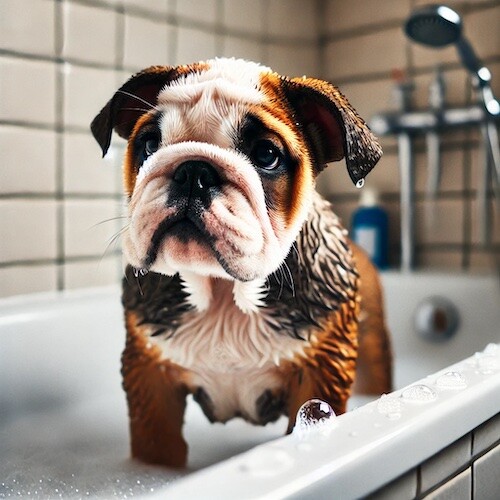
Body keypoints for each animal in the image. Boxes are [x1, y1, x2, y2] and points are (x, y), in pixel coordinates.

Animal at [92, 58, 392, 468]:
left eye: (266, 155)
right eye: (150, 143)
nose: (193, 170)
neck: (222, 290)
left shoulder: (321, 374)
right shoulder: (150, 380)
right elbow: (157, 446)